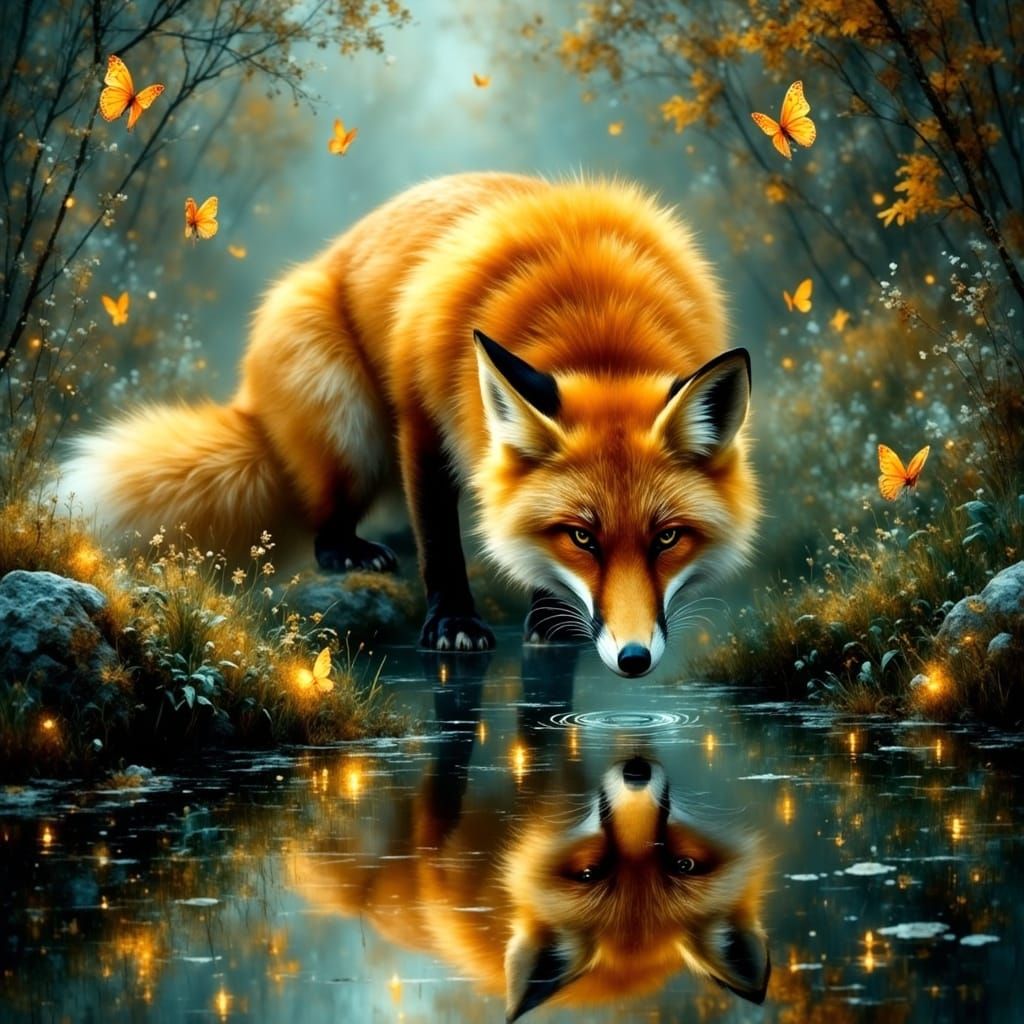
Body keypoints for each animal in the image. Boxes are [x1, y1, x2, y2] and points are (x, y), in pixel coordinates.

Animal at [61, 172, 759, 675]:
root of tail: (250, 403)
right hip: (352, 427)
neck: (594, 317)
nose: (633, 659)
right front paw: (453, 625)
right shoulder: (423, 418)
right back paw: (351, 550)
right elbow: (442, 545)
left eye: (667, 539)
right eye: (582, 538)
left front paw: (548, 620)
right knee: (328, 519)